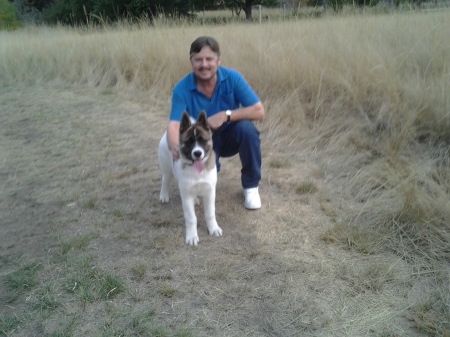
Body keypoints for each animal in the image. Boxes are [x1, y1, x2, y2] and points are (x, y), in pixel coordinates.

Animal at [158, 110, 223, 244]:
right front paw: (192, 236)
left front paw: (213, 228)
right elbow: (191, 218)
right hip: (167, 169)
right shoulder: (186, 195)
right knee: (165, 180)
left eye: (202, 140)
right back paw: (164, 195)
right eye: (189, 142)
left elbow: (210, 213)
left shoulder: (210, 192)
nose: (197, 153)